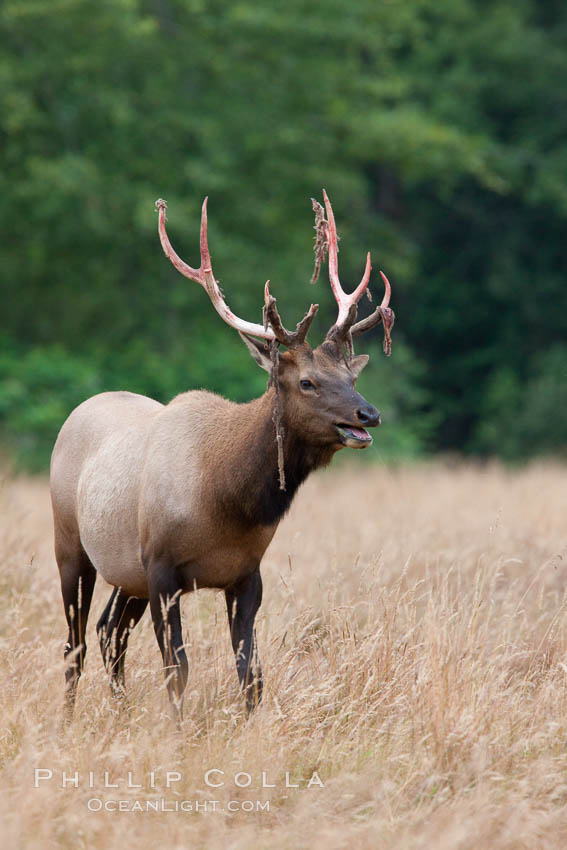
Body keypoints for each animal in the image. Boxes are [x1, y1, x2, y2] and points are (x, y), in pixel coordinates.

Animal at [50, 190, 394, 716]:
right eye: (307, 382)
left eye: (350, 376)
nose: (368, 415)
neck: (225, 500)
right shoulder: (161, 567)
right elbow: (178, 670)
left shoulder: (246, 573)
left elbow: (251, 675)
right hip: (71, 545)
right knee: (76, 642)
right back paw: (69, 718)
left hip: (126, 573)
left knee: (109, 632)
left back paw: (121, 711)